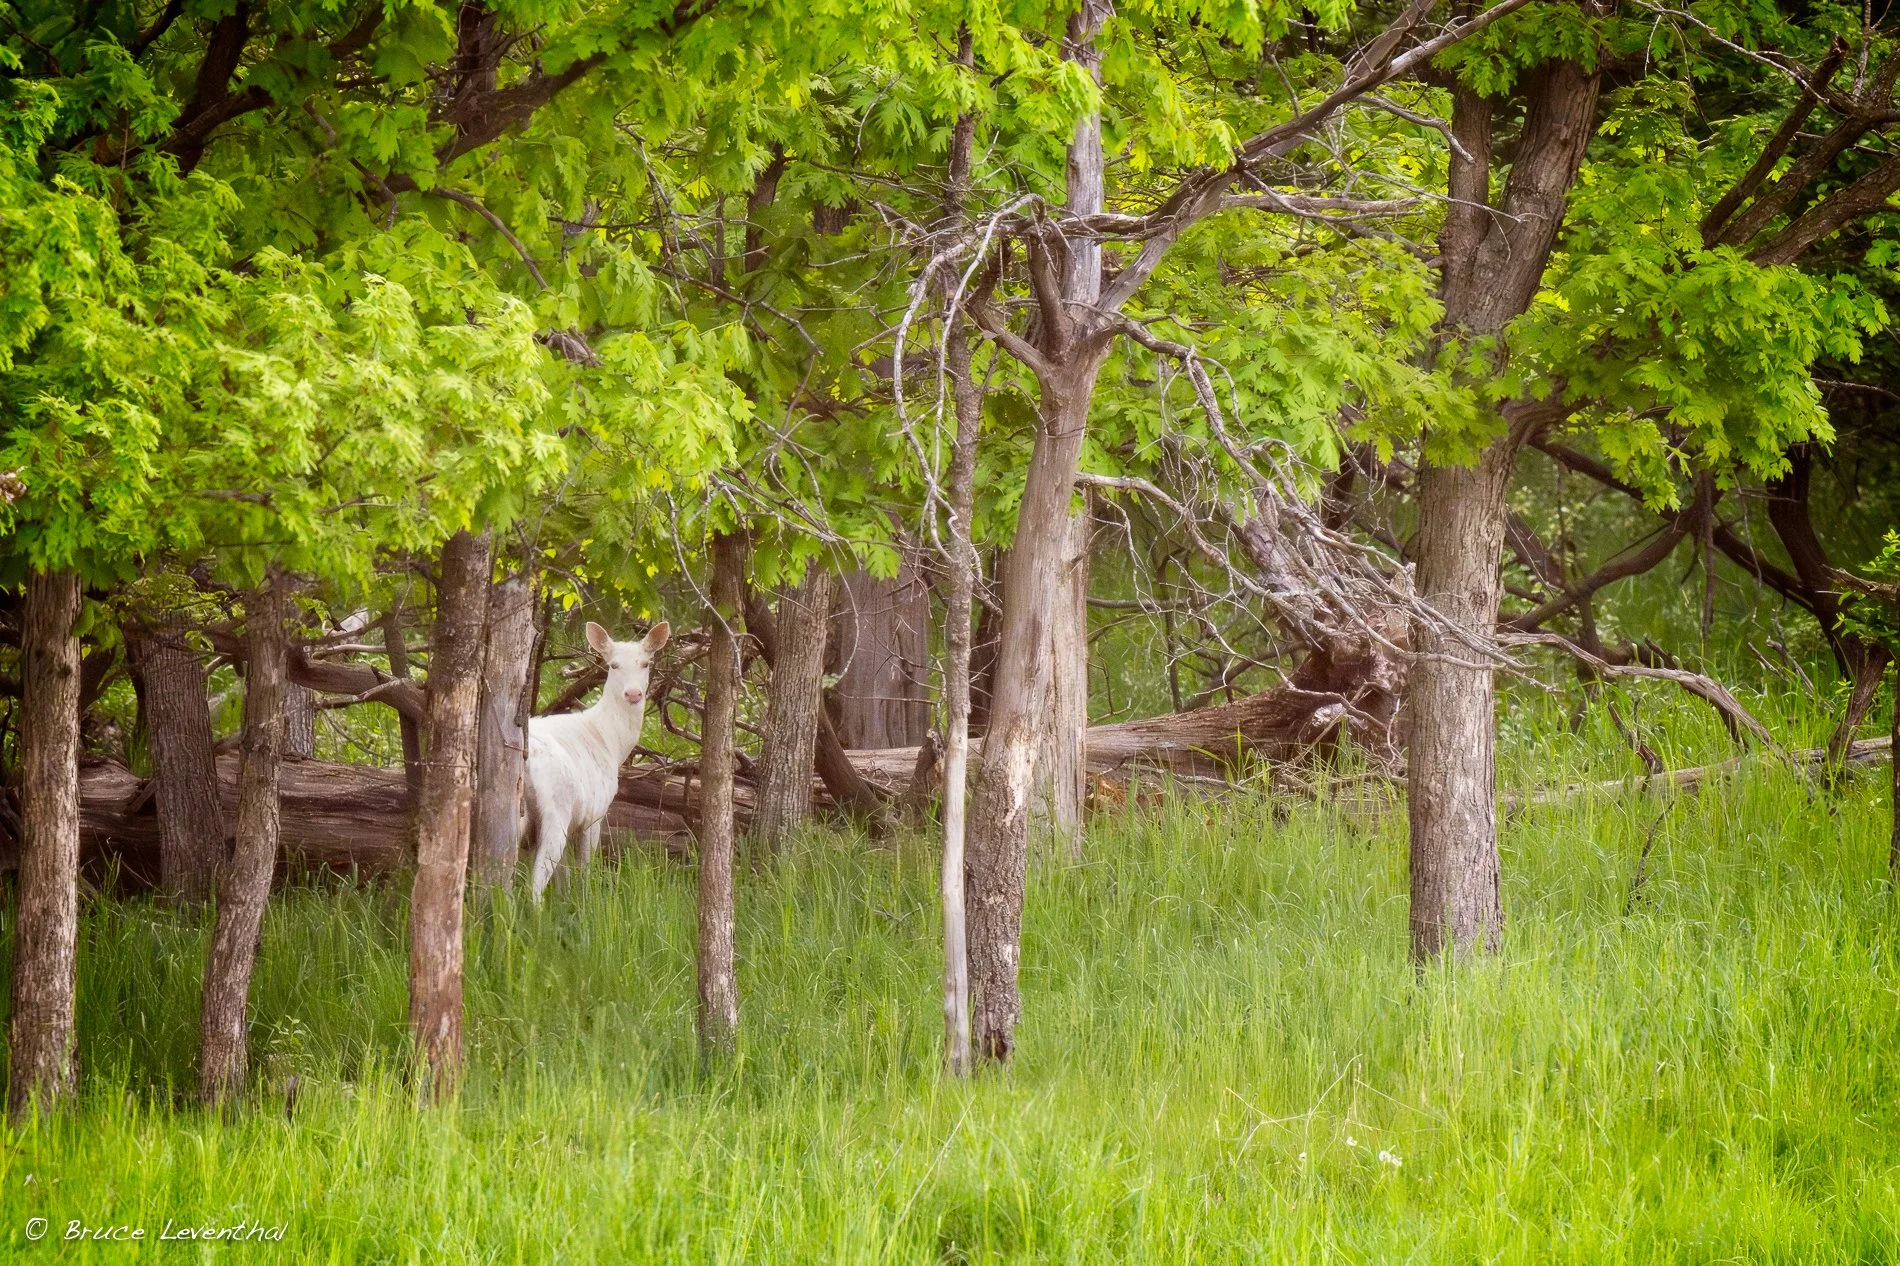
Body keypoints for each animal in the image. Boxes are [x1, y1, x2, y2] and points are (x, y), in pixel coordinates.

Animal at [523, 620, 669, 898]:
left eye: (646, 663)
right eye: (613, 665)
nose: (633, 694)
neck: (611, 742)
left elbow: (564, 877)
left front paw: (565, 902)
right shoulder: (594, 814)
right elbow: (583, 869)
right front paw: (585, 901)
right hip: (557, 806)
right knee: (538, 877)